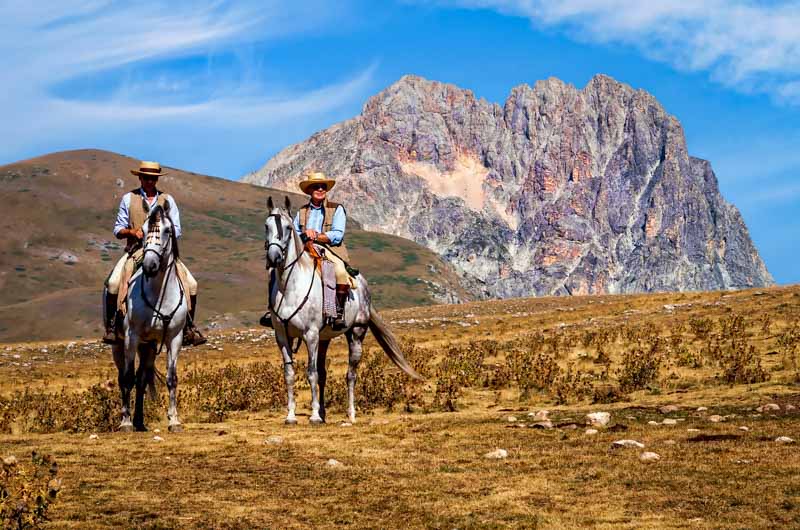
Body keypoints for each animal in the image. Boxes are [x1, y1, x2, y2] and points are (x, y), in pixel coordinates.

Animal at [111, 200, 188, 432]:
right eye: (143, 231)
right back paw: (131, 420)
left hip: (149, 346)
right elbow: (127, 378)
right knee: (124, 377)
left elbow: (172, 378)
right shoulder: (131, 336)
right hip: (120, 344)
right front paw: (125, 422)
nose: (150, 266)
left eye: (168, 230)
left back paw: (139, 421)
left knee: (142, 379)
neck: (158, 294)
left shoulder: (174, 338)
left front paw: (174, 420)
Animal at [264, 196, 424, 422]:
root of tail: (364, 286)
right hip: (324, 339)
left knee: (351, 374)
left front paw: (313, 416)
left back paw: (351, 414)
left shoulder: (310, 334)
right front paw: (291, 416)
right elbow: (290, 374)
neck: (290, 287)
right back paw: (324, 413)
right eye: (266, 226)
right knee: (323, 373)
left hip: (356, 333)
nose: (274, 257)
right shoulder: (282, 336)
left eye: (287, 227)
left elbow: (311, 373)